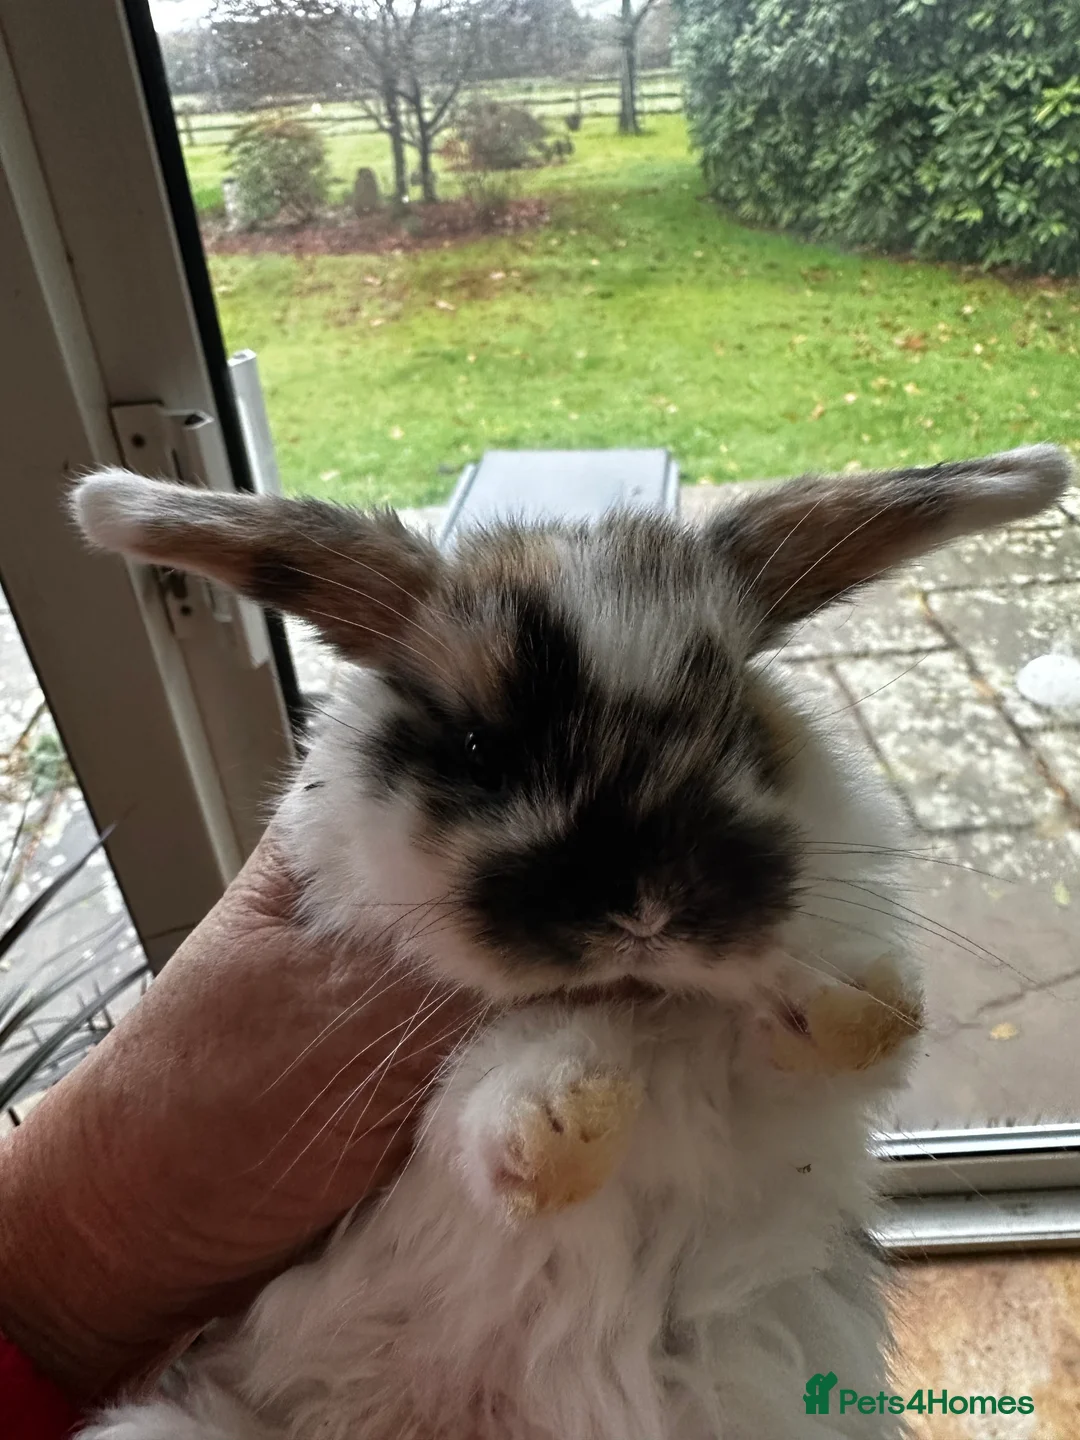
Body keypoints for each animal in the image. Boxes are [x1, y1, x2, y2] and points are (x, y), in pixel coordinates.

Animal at [70, 444, 1071, 1440]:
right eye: (480, 749)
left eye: (737, 722)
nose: (647, 909)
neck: (639, 1001)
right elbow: (483, 1096)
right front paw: (565, 1119)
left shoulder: (784, 1100)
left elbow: (825, 1048)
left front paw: (852, 1001)